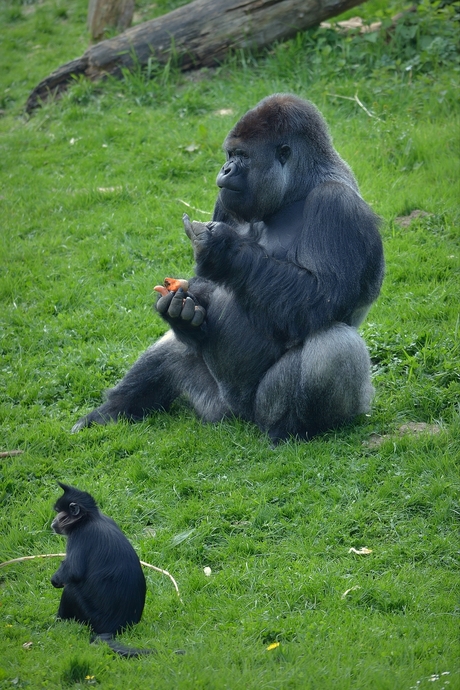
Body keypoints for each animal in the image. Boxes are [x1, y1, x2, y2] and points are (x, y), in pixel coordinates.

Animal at [51, 482, 150, 652]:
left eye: (59, 513)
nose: (53, 521)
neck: (90, 518)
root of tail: (116, 627)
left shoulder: (81, 535)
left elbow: (73, 572)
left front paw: (56, 580)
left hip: (91, 617)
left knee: (70, 589)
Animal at [73, 92, 384, 440]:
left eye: (242, 156)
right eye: (231, 154)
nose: (226, 168)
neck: (297, 190)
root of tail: (236, 416)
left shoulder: (337, 206)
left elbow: (320, 296)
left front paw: (222, 250)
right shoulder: (226, 199)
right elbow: (205, 287)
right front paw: (181, 313)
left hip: (258, 411)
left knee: (334, 346)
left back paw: (290, 431)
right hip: (213, 404)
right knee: (173, 349)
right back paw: (112, 409)